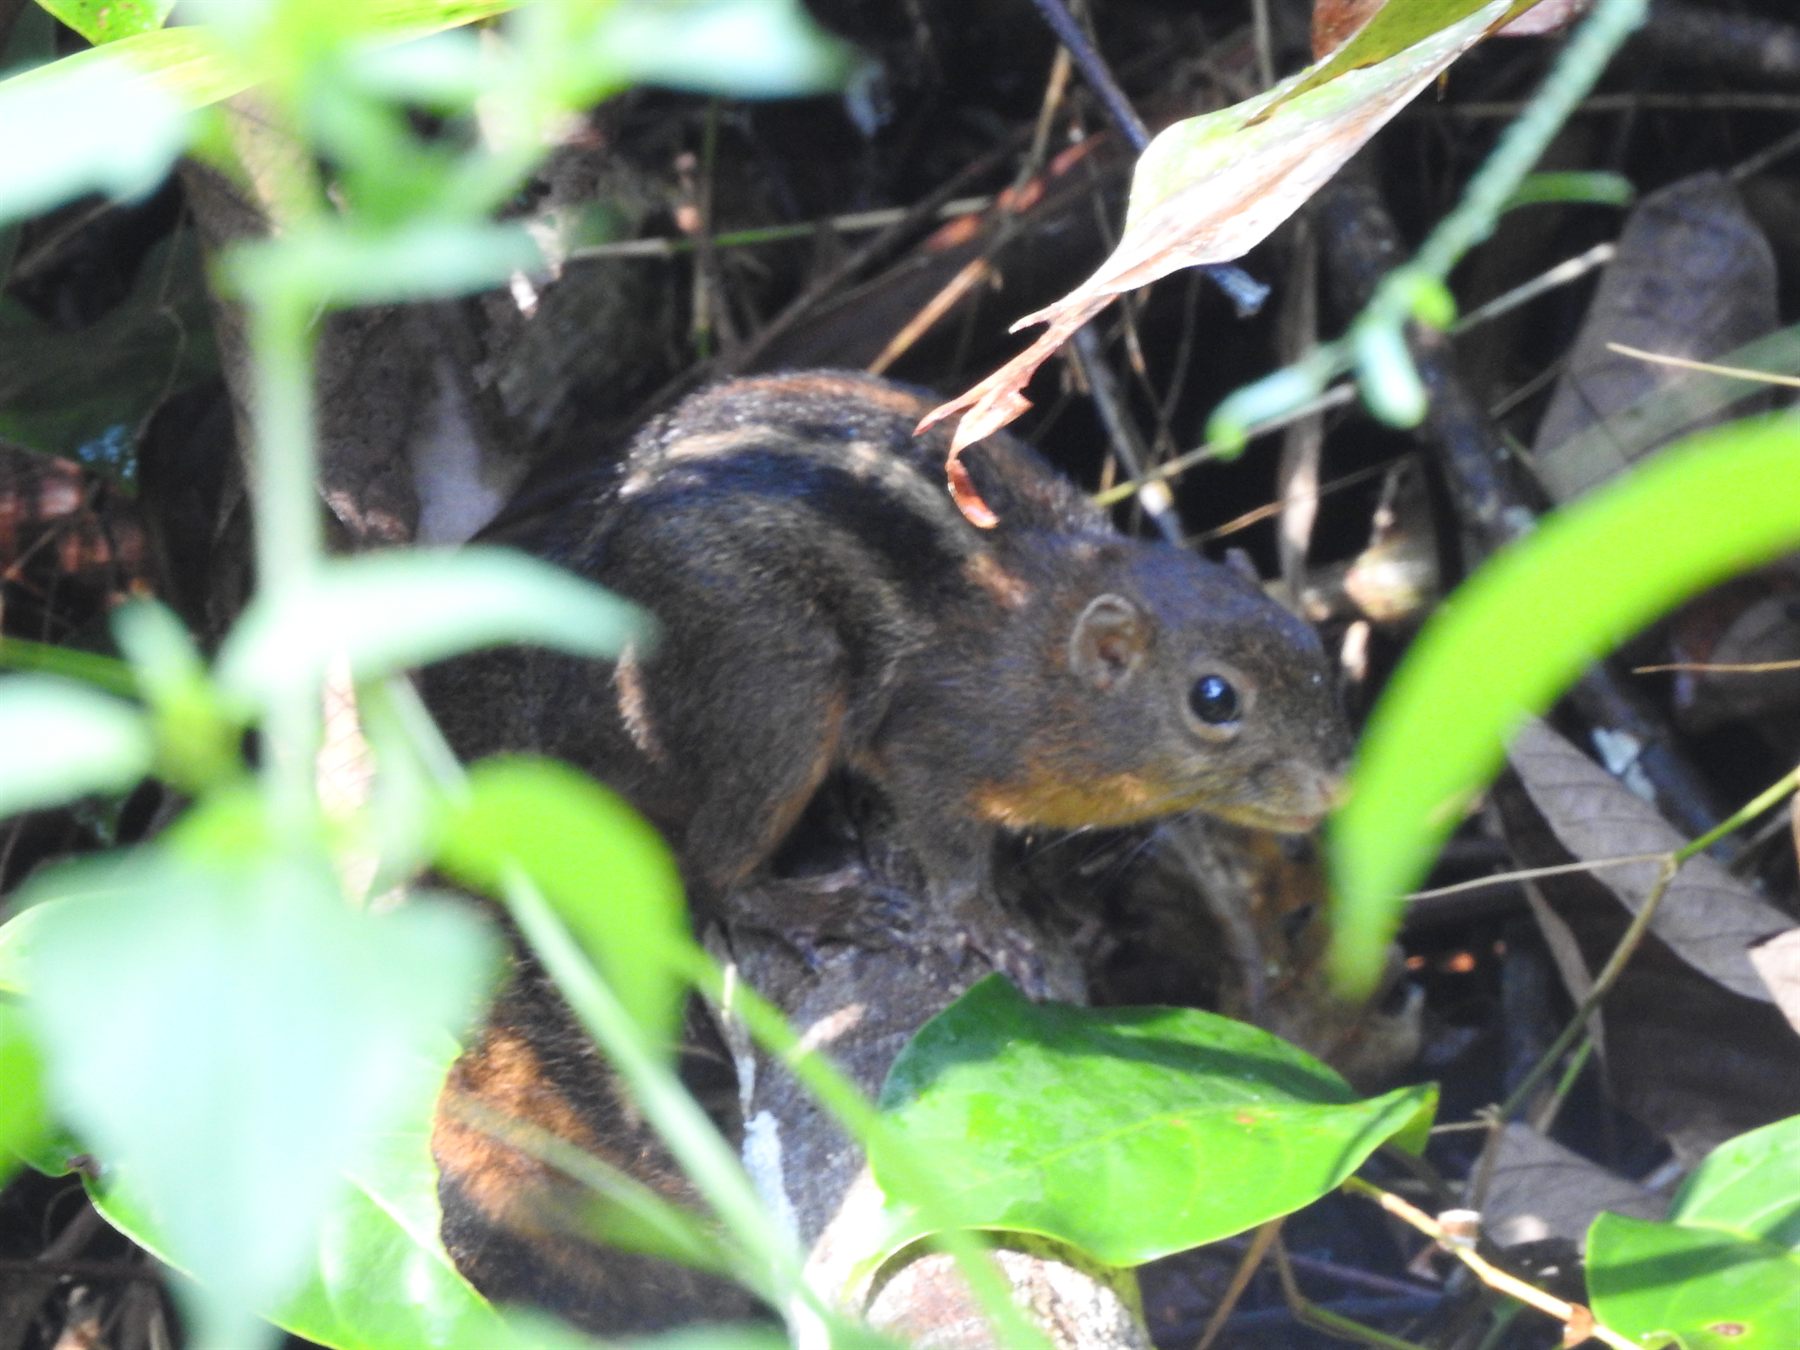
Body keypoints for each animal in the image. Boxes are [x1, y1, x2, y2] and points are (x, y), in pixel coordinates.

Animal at [426, 369, 1352, 1333]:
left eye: (1320, 657)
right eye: (1214, 699)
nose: (1335, 788)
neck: (1040, 653)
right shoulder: (935, 743)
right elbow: (947, 847)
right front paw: (991, 924)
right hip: (778, 689)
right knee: (708, 870)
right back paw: (817, 906)